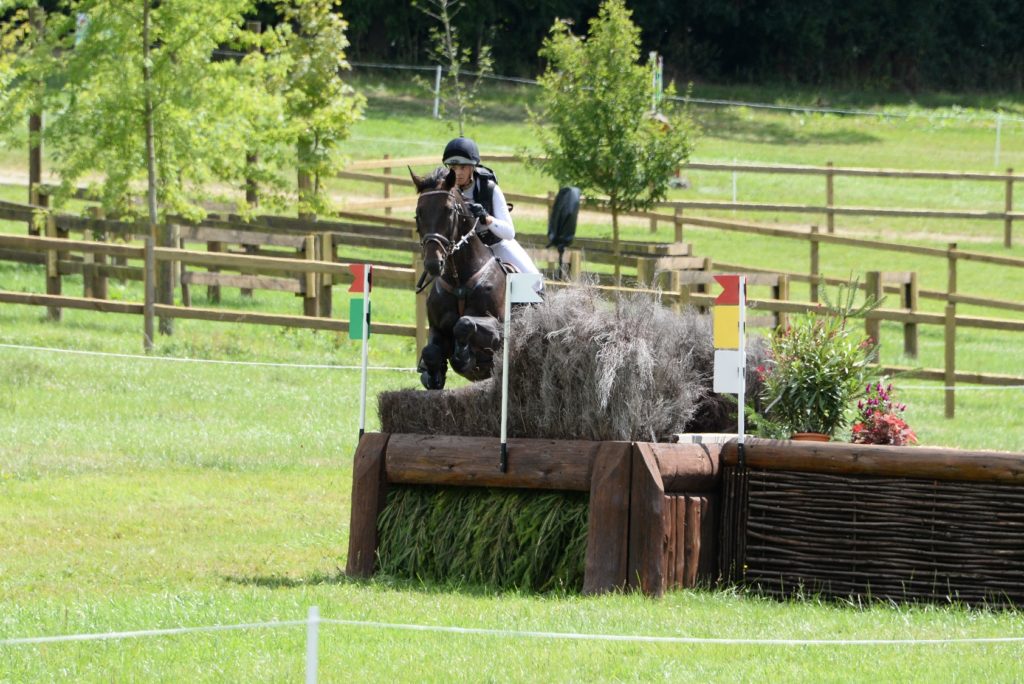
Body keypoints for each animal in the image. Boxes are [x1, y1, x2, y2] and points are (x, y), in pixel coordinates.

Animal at [407, 166, 503, 389]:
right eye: (418, 213)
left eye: (449, 211)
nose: (433, 263)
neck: (459, 281)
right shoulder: (437, 329)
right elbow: (430, 351)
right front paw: (434, 374)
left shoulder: (499, 328)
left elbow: (464, 323)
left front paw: (464, 357)